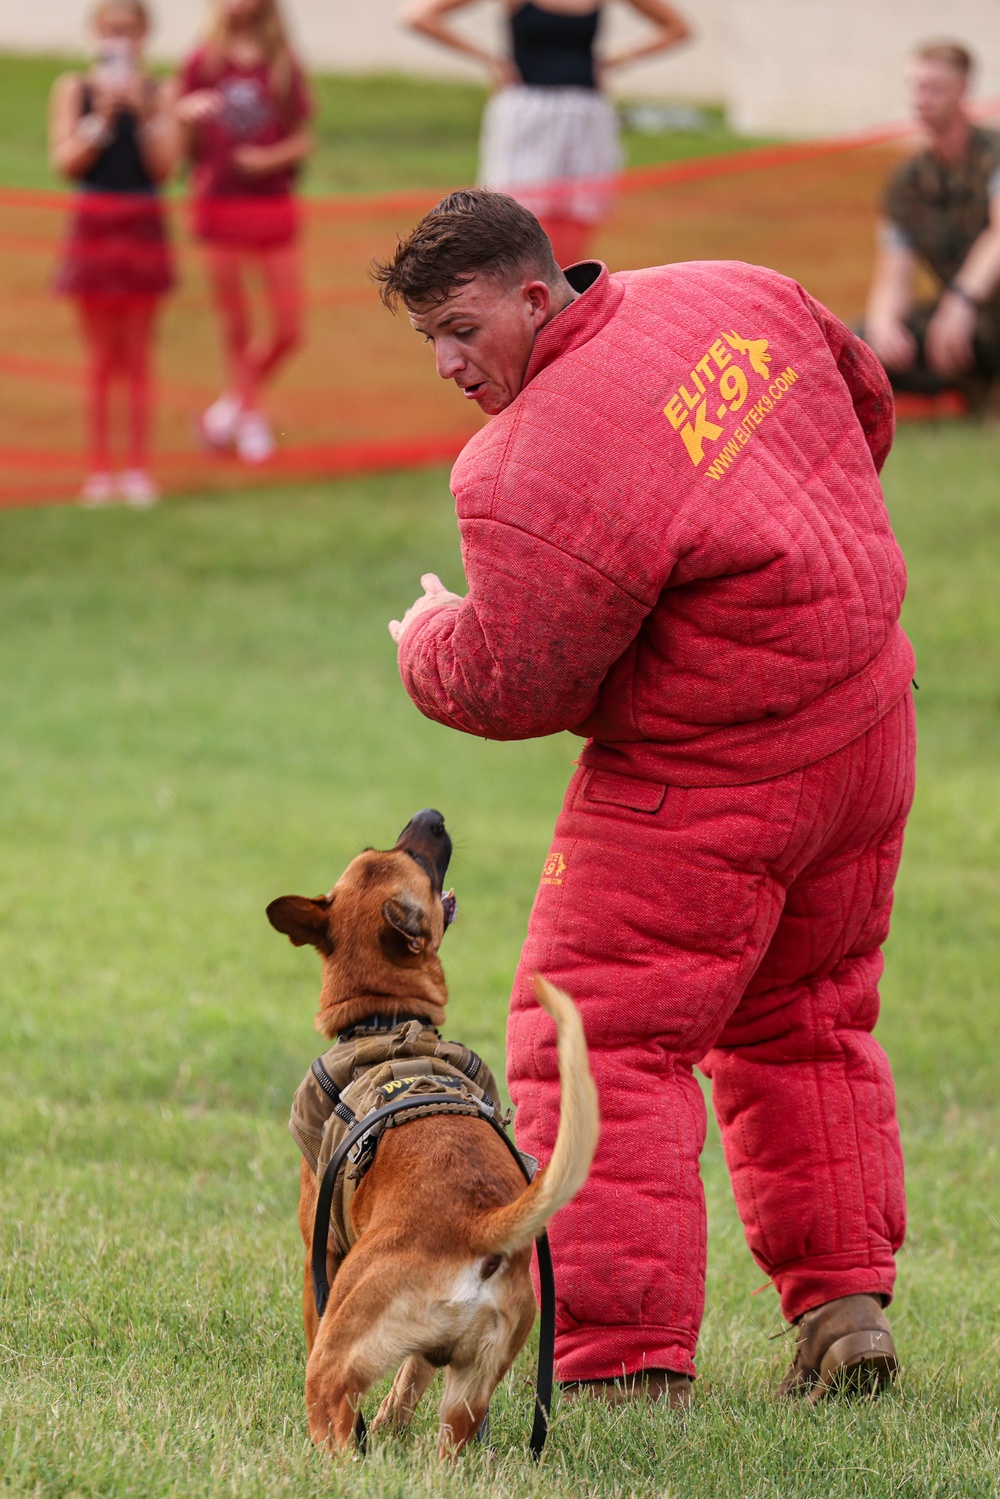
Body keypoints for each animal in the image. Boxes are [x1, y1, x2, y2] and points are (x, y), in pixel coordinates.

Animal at [265, 815, 599, 1457]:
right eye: (396, 850)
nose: (432, 816)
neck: (387, 1020)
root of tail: (479, 1226)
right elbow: (406, 1386)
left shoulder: (322, 1252)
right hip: (467, 1397)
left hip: (336, 1357)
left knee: (335, 1421)